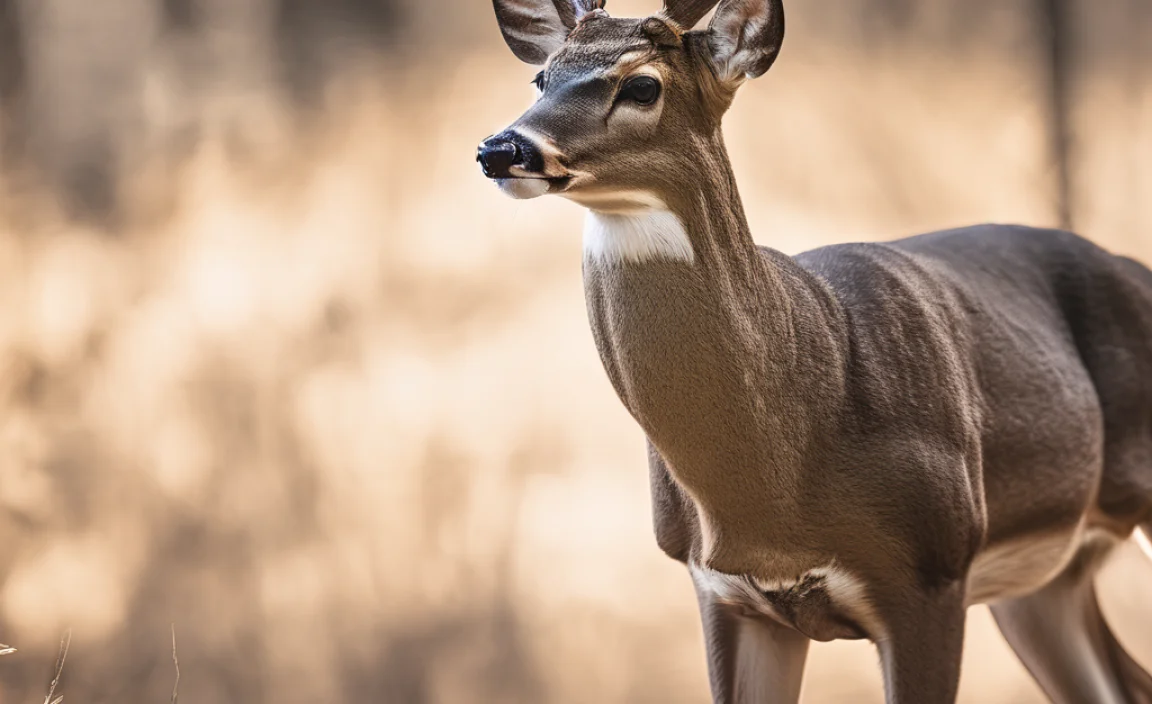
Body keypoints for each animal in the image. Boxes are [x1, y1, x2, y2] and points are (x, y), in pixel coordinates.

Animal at [475, 1, 1152, 701]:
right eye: (542, 77)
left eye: (641, 85)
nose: (502, 149)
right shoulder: (723, 592)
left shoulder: (933, 571)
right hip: (1041, 583)